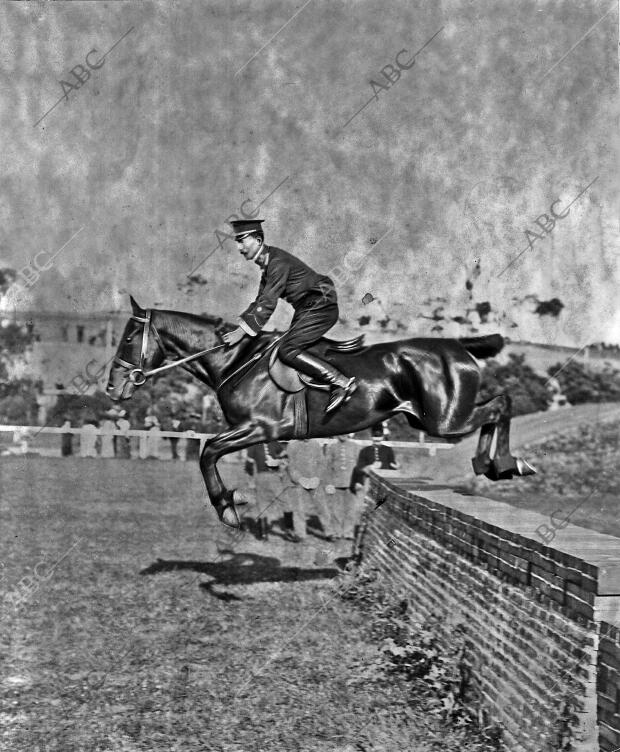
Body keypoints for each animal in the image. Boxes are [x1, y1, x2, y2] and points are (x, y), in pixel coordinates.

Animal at [105, 296, 532, 524]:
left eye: (128, 338)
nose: (112, 387)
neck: (234, 359)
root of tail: (457, 346)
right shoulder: (253, 431)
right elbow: (210, 452)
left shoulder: (260, 428)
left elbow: (207, 451)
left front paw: (227, 508)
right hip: (431, 417)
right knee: (497, 407)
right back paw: (493, 464)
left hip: (445, 418)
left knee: (500, 404)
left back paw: (505, 463)